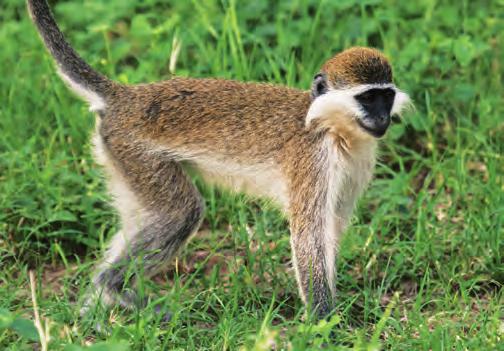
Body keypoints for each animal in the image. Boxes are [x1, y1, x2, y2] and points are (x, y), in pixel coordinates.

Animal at [27, 0, 410, 320]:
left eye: (385, 97)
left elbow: (331, 227)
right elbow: (308, 234)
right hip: (136, 153)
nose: (382, 118)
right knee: (181, 213)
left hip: (121, 160)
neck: (333, 129)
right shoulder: (313, 160)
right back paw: (114, 287)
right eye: (367, 98)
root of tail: (127, 97)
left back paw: (96, 308)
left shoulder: (357, 163)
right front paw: (324, 322)